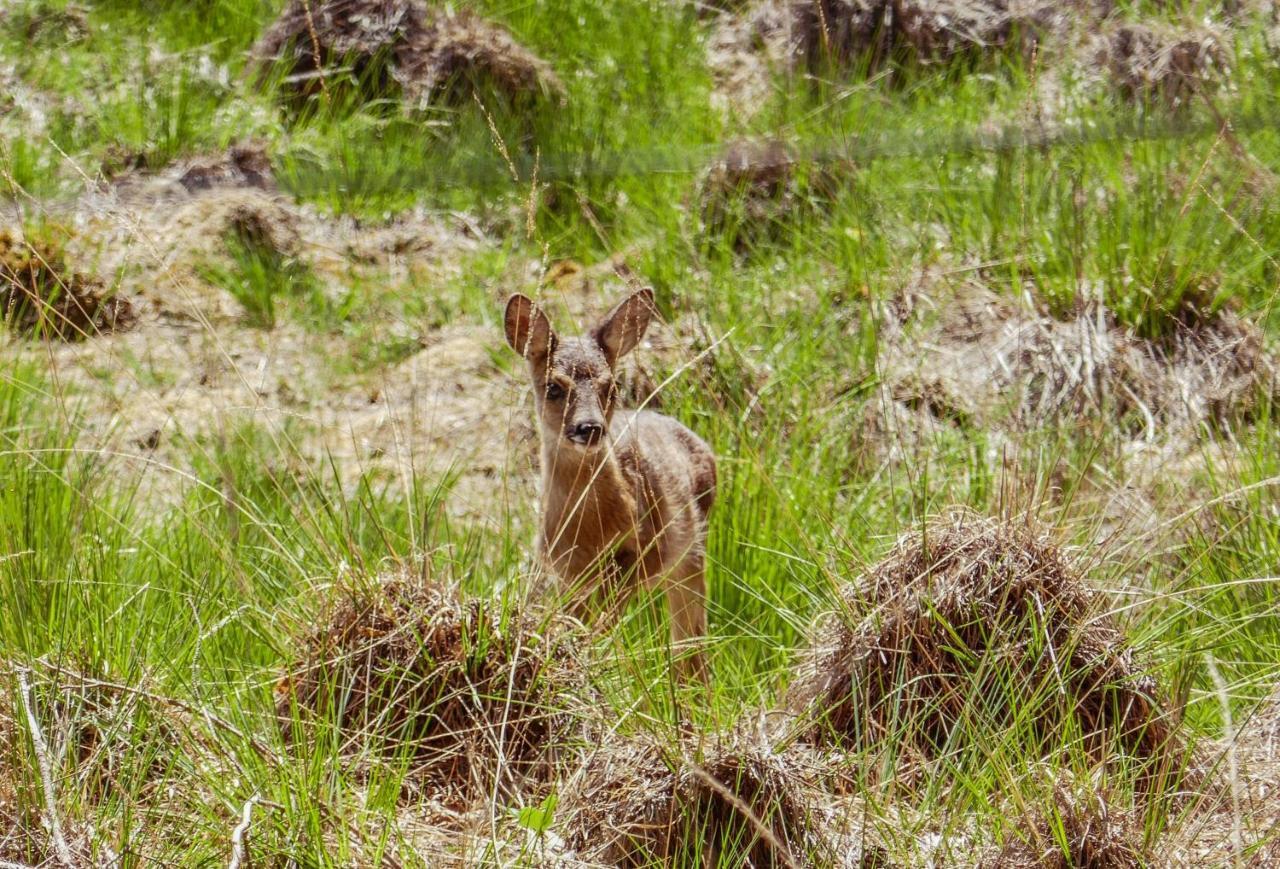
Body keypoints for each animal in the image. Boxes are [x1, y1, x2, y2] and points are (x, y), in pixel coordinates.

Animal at [504, 289, 716, 680]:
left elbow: (603, 619)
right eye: (553, 386)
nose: (590, 427)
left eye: (611, 386)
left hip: (692, 549)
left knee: (691, 634)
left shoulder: (647, 548)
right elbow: (577, 620)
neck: (589, 528)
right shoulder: (564, 569)